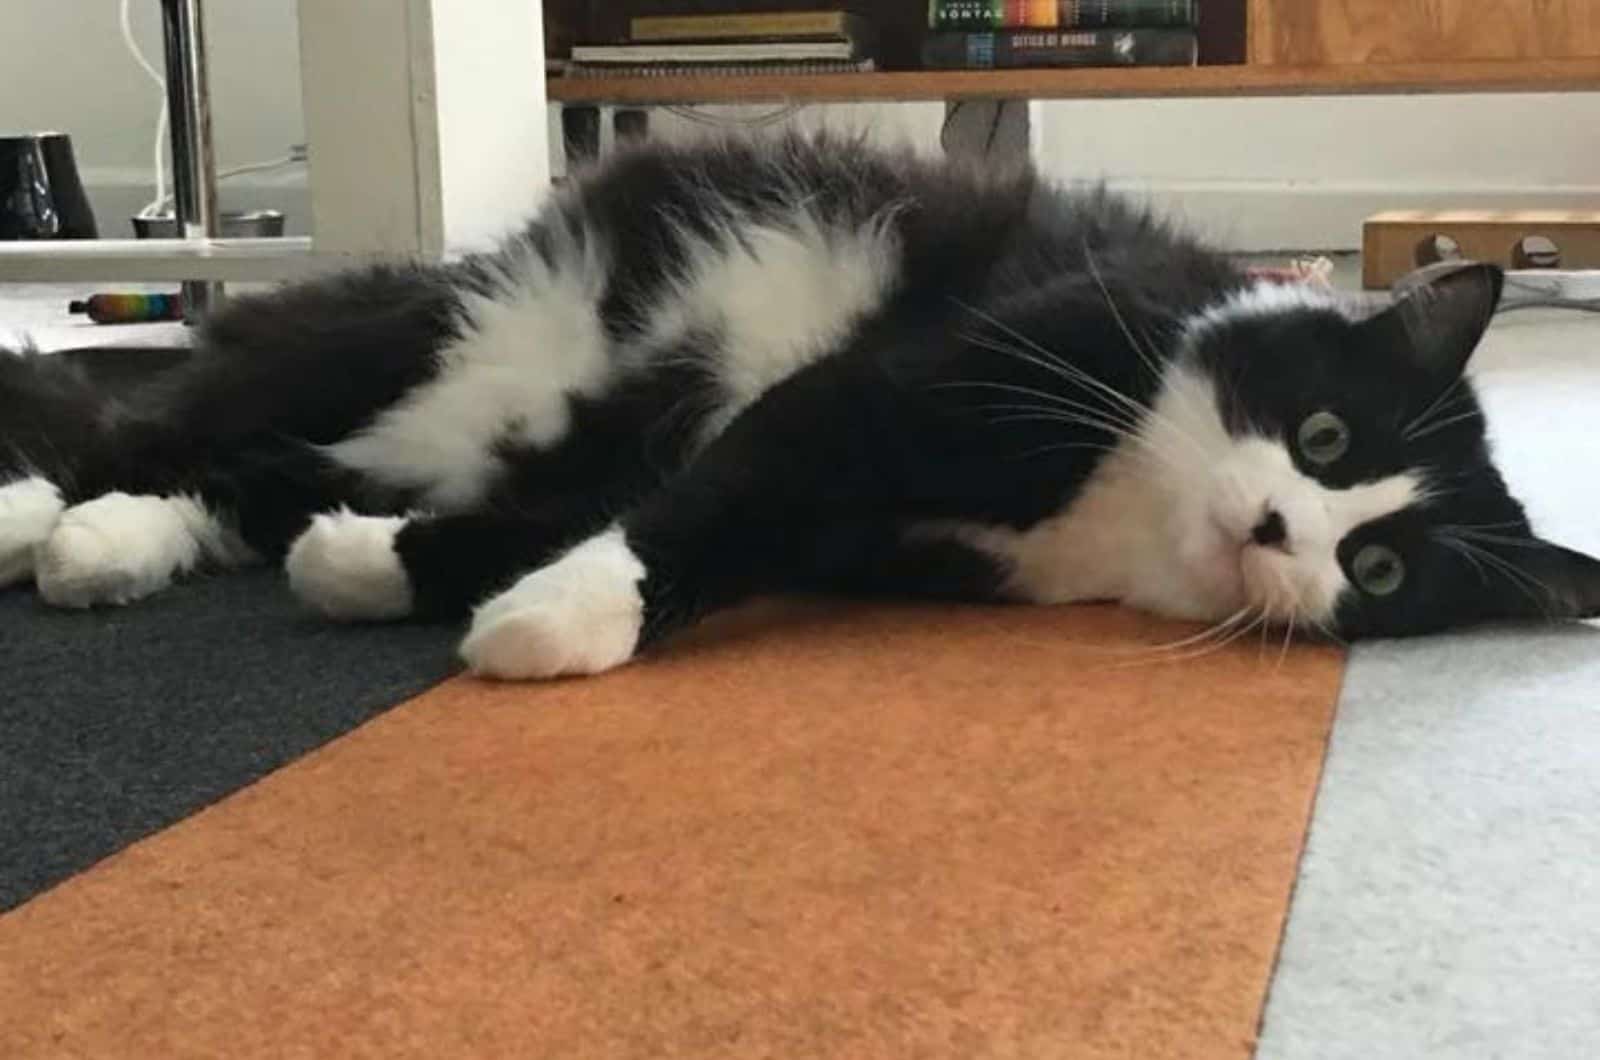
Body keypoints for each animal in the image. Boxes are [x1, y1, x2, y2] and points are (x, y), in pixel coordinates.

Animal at [0, 135, 1593, 682]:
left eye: (1373, 568)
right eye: (1325, 438)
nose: (1276, 526)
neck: (1125, 508)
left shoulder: (882, 533)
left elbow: (597, 525)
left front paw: (369, 570)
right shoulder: (920, 379)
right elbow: (706, 506)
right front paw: (558, 630)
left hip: (471, 417)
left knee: (262, 471)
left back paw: (116, 547)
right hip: (443, 343)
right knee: (158, 427)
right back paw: (36, 519)